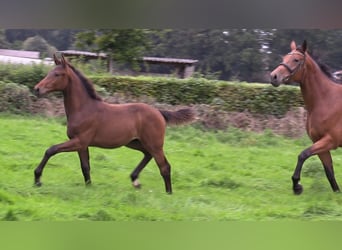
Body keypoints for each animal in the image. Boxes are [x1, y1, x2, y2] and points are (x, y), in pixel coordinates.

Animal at [34, 52, 196, 194]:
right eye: (49, 72)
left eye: (57, 74)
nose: (37, 89)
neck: (84, 108)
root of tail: (159, 112)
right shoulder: (82, 145)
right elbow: (85, 166)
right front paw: (89, 187)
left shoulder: (80, 141)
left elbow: (51, 150)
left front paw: (37, 179)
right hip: (135, 142)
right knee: (148, 155)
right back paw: (135, 180)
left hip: (154, 144)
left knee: (164, 166)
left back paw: (168, 193)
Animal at [272, 40, 340, 194]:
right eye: (284, 58)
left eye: (296, 60)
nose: (274, 76)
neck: (327, 100)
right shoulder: (319, 142)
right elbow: (329, 172)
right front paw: (337, 193)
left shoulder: (330, 140)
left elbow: (303, 154)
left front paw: (297, 185)